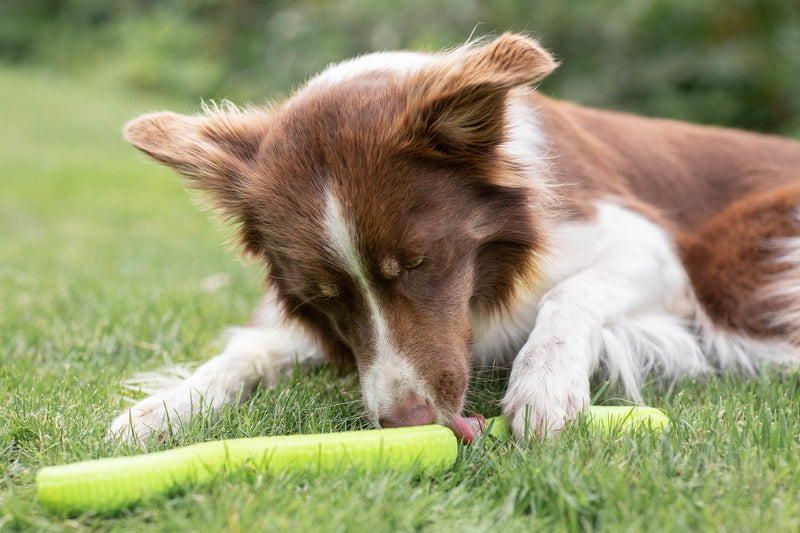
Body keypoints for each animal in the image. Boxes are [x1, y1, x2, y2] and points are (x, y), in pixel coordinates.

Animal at [109, 31, 800, 442]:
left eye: (420, 262)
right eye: (325, 295)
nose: (404, 423)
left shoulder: (645, 242)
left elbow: (568, 294)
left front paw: (544, 385)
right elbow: (251, 349)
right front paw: (167, 405)